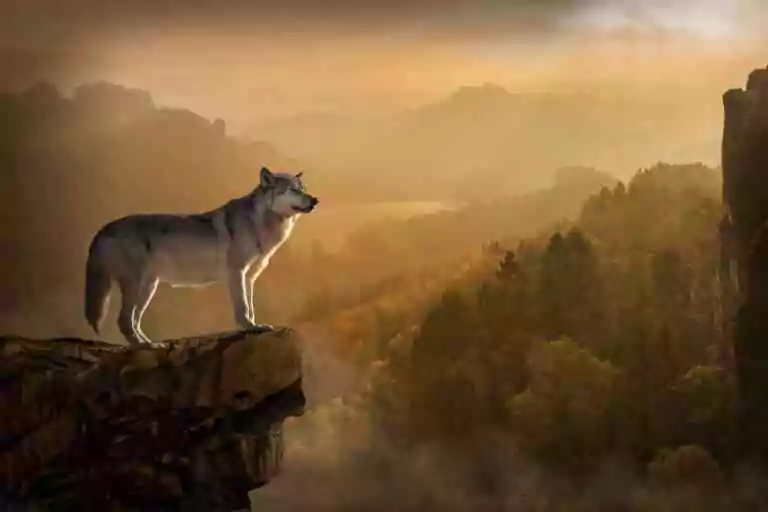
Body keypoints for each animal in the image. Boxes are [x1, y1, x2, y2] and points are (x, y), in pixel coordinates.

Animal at [84, 167, 319, 345]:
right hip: (135, 286)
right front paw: (250, 327)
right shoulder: (236, 272)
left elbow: (251, 307)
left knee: (134, 321)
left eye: (304, 189)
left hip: (149, 288)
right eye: (293, 190)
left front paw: (256, 326)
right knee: (124, 321)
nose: (315, 200)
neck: (262, 224)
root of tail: (105, 228)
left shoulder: (249, 277)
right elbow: (243, 307)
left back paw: (150, 343)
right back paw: (144, 347)